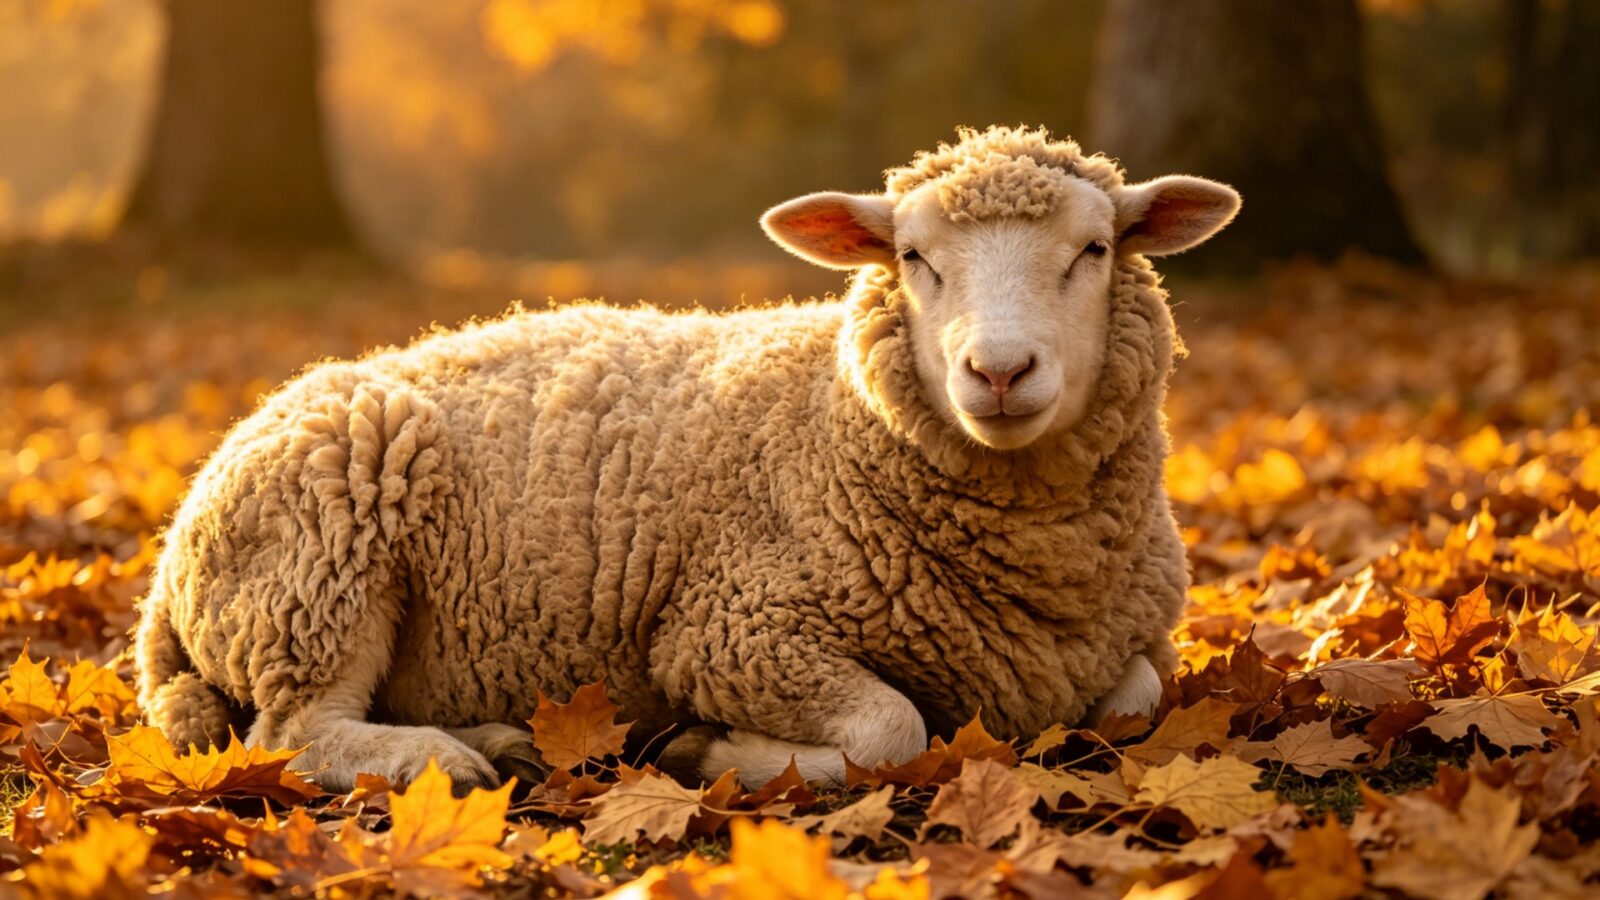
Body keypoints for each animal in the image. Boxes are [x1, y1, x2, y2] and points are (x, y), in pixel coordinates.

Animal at [134, 126, 1240, 792]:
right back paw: (441, 762)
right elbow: (892, 732)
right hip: (319, 565)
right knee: (293, 731)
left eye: (1094, 250)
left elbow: (1139, 698)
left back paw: (501, 743)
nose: (999, 371)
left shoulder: (1132, 640)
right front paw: (719, 750)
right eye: (912, 258)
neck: (828, 417)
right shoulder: (729, 630)